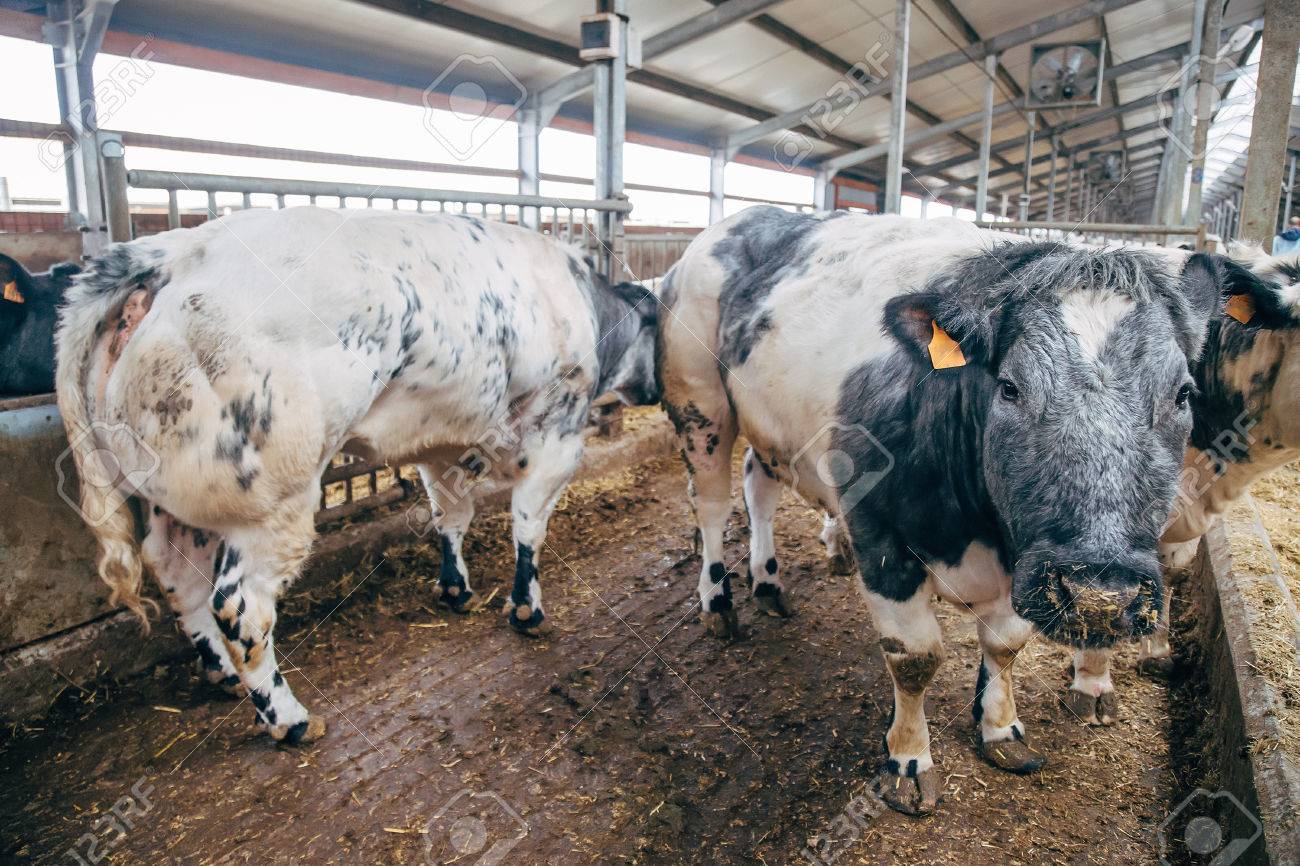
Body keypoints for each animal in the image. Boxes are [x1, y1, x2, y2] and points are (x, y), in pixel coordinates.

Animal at [55, 206, 659, 744]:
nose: (656, 392)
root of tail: (169, 254)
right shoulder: (558, 434)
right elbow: (528, 525)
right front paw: (527, 609)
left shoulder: (439, 443)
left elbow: (451, 516)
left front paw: (456, 588)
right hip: (272, 503)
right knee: (239, 605)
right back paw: (289, 720)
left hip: (178, 498)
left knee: (179, 575)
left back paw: (223, 675)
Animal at [656, 206, 1227, 815]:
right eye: (1009, 386)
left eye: (1183, 394)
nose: (1099, 594)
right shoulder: (881, 539)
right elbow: (915, 658)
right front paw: (909, 760)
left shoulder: (1023, 563)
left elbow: (1005, 645)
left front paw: (1001, 729)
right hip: (700, 406)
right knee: (712, 506)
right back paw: (718, 601)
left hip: (769, 433)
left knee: (758, 490)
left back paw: (767, 583)